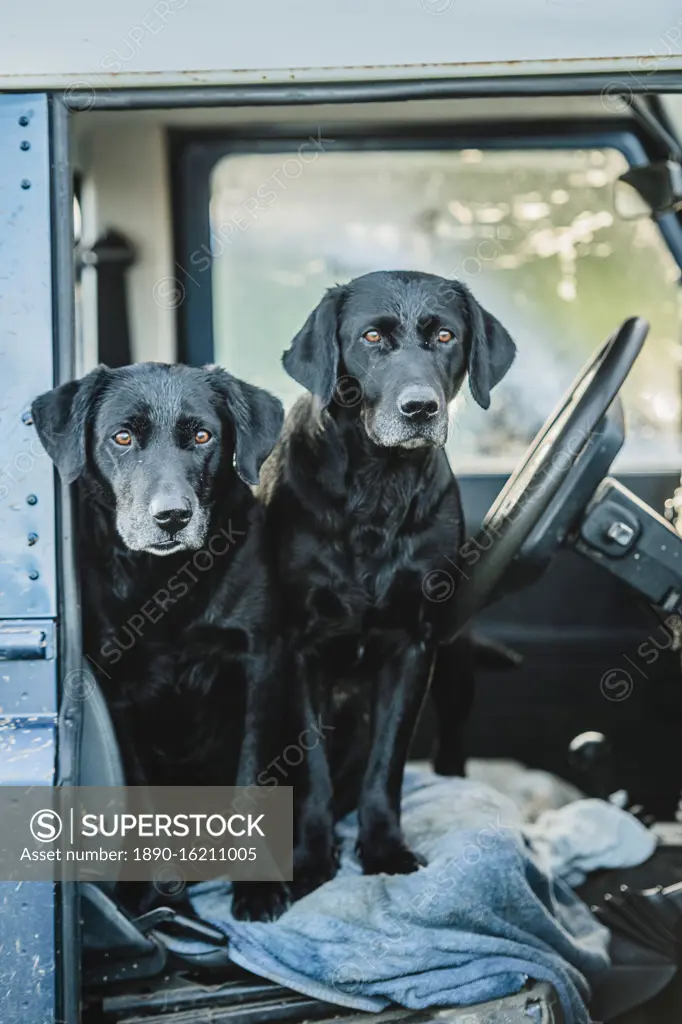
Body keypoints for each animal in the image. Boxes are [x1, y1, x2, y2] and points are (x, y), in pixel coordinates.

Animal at [32, 366, 286, 921]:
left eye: (203, 436)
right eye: (122, 438)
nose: (171, 516)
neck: (164, 579)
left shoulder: (258, 668)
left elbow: (251, 783)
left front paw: (257, 884)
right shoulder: (118, 691)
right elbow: (144, 798)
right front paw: (157, 894)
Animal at [258, 274, 512, 897]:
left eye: (445, 335)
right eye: (372, 337)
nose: (419, 408)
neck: (377, 484)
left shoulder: (413, 645)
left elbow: (387, 765)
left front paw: (383, 848)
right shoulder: (300, 649)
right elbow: (313, 770)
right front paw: (311, 858)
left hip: (455, 662)